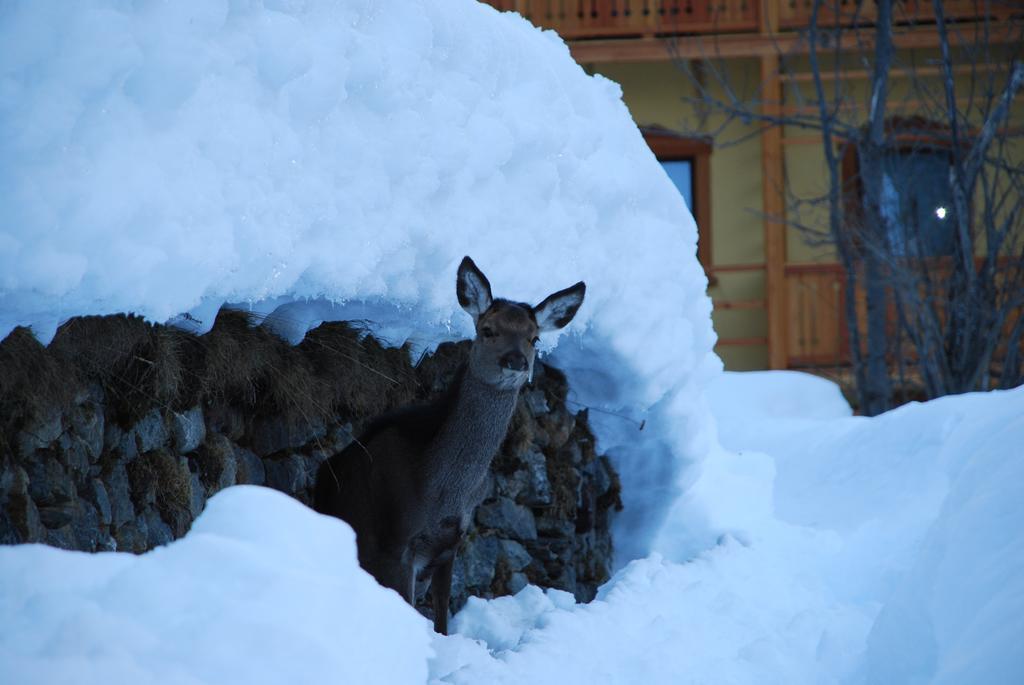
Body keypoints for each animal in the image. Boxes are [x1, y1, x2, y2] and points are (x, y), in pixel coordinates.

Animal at [311, 258, 585, 634]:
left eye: (535, 338)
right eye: (487, 330)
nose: (516, 361)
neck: (443, 490)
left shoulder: (450, 544)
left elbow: (442, 618)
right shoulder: (395, 542)